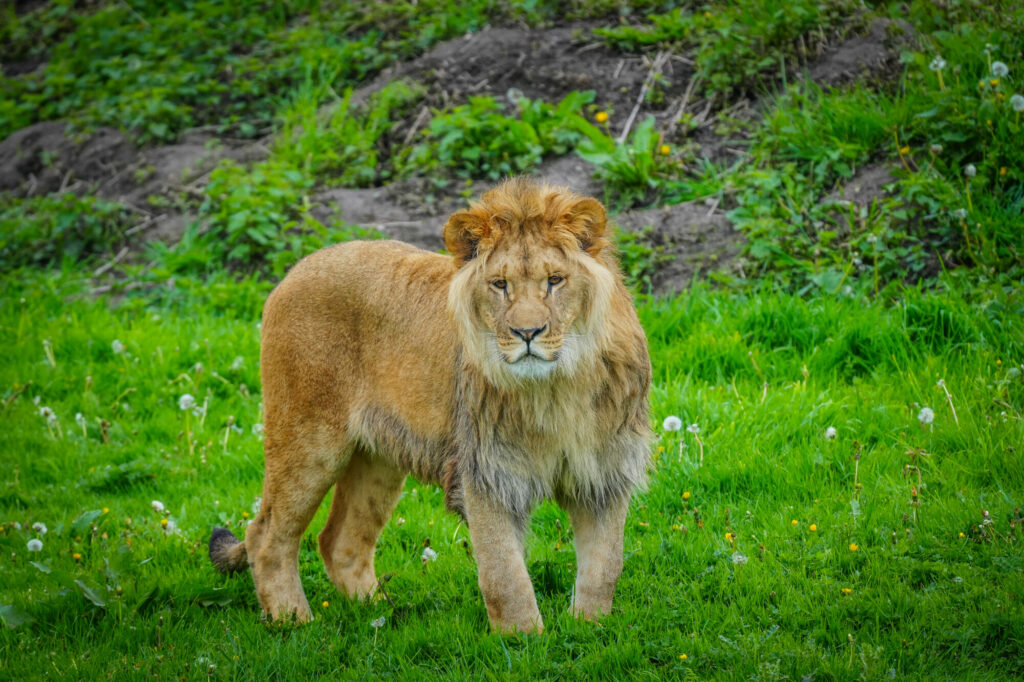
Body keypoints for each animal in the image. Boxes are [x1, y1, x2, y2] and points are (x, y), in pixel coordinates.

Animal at [209, 177, 651, 634]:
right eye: (500, 284)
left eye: (555, 280)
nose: (527, 332)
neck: (555, 388)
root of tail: (294, 270)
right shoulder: (487, 473)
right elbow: (504, 573)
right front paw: (524, 638)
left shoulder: (604, 473)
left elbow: (605, 565)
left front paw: (590, 628)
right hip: (307, 440)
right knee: (266, 535)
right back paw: (293, 620)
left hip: (378, 460)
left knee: (339, 540)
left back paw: (380, 612)